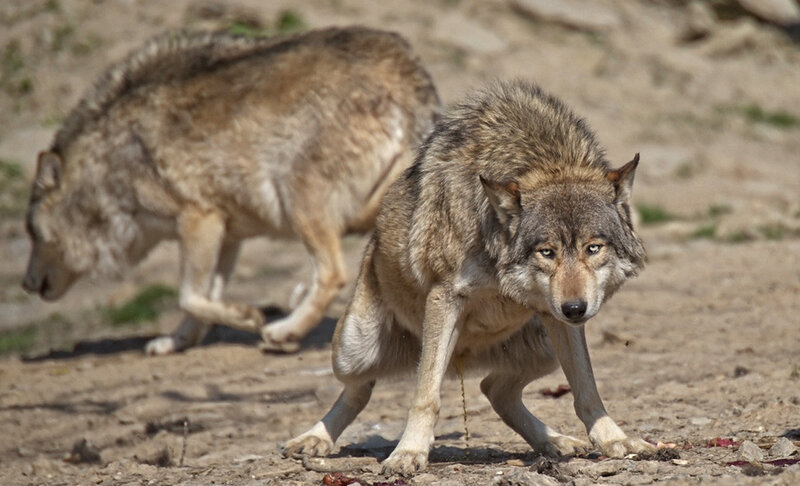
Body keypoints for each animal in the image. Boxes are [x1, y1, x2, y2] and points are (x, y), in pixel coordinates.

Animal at [21, 26, 440, 355]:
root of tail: (408, 74)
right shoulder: (227, 232)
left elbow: (188, 295)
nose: (25, 283)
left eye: (31, 233)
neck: (112, 163)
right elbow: (202, 298)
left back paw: (284, 330)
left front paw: (248, 316)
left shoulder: (198, 218)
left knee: (333, 272)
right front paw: (176, 342)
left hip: (298, 202)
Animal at [284, 80, 654, 475]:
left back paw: (555, 442)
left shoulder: (559, 320)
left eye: (593, 248)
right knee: (358, 389)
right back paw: (313, 439)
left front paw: (615, 440)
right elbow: (426, 395)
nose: (574, 308)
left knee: (493, 389)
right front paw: (408, 453)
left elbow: (586, 389)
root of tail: (465, 355)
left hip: (543, 350)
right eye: (547, 252)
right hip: (353, 350)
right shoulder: (445, 298)